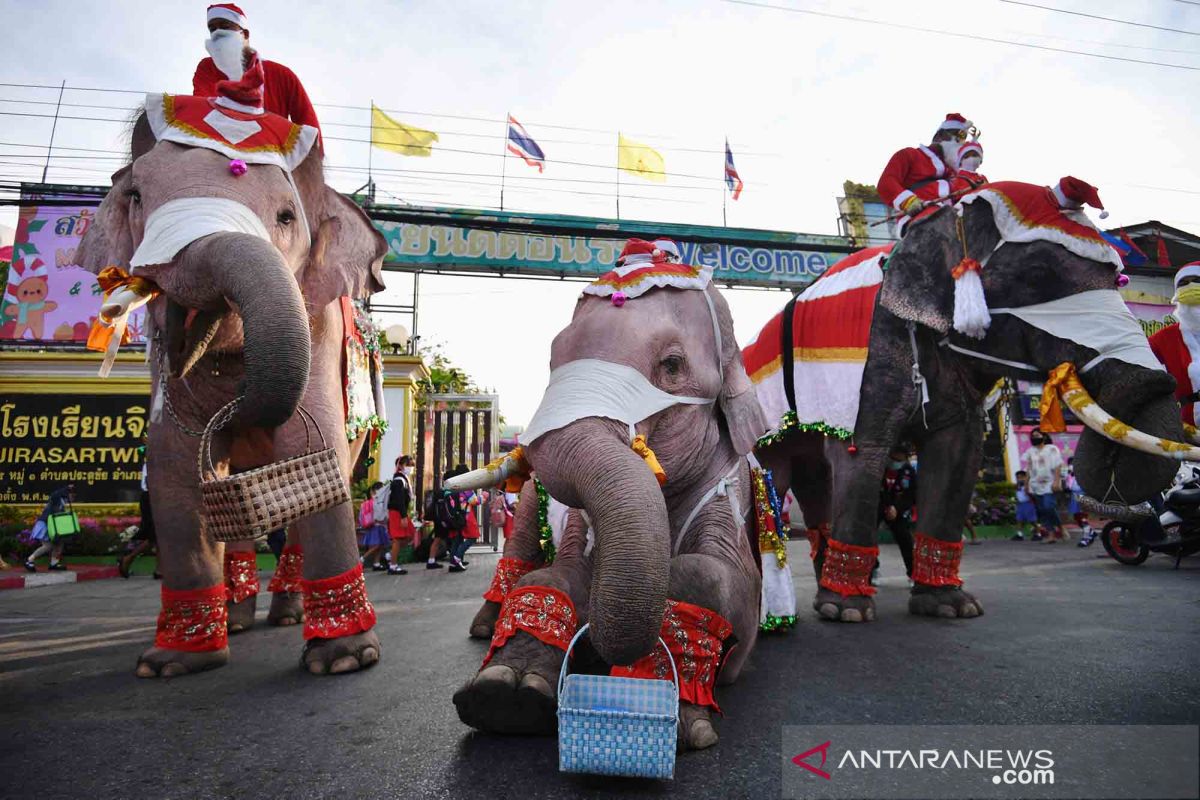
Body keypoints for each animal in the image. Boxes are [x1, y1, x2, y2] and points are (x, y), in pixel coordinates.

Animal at [76, 97, 384, 681]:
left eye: (286, 217)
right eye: (136, 196)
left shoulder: (320, 329)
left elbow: (312, 447)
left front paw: (345, 659)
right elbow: (174, 465)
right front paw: (171, 663)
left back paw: (286, 615)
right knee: (224, 485)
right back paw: (238, 619)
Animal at [446, 253, 763, 753]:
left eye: (672, 364)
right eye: (552, 360)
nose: (593, 647)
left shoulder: (728, 489)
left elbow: (722, 584)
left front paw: (685, 723)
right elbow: (560, 573)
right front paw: (503, 697)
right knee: (517, 549)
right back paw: (485, 626)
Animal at [753, 195, 1185, 623]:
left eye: (1118, 281)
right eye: (1037, 276)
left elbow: (957, 454)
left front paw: (951, 606)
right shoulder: (872, 357)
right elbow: (863, 452)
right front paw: (849, 613)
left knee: (815, 483)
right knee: (780, 474)